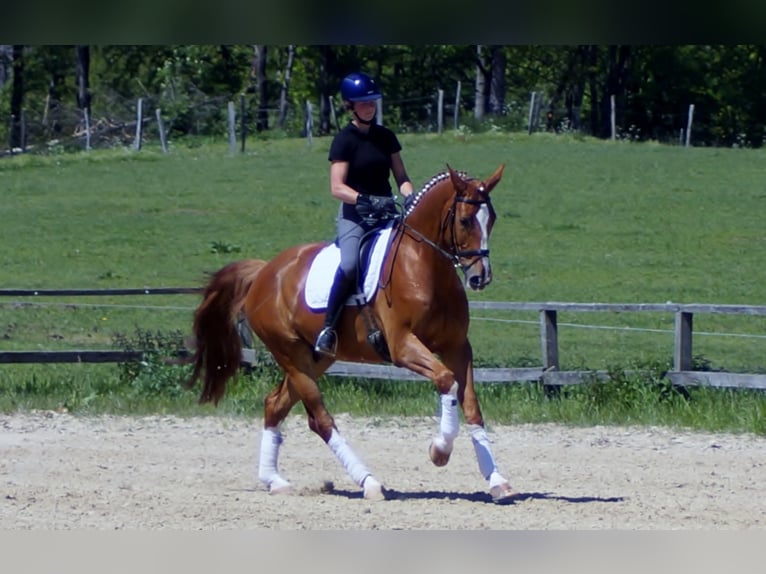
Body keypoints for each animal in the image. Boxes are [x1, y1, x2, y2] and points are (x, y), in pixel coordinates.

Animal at [189, 164, 520, 502]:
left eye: (492, 219)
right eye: (465, 220)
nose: (481, 277)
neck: (424, 266)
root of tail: (265, 272)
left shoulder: (457, 347)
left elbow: (471, 405)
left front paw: (497, 480)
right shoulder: (402, 346)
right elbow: (445, 380)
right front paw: (439, 451)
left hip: (314, 359)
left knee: (274, 404)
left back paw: (275, 480)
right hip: (290, 354)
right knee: (320, 420)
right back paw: (369, 482)